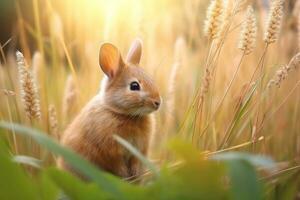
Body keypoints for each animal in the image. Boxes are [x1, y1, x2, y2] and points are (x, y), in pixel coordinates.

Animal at [58, 38, 162, 179]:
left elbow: (136, 161)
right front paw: (125, 175)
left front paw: (134, 174)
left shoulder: (140, 149)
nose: (158, 102)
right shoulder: (110, 152)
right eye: (134, 86)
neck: (123, 114)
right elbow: (117, 164)